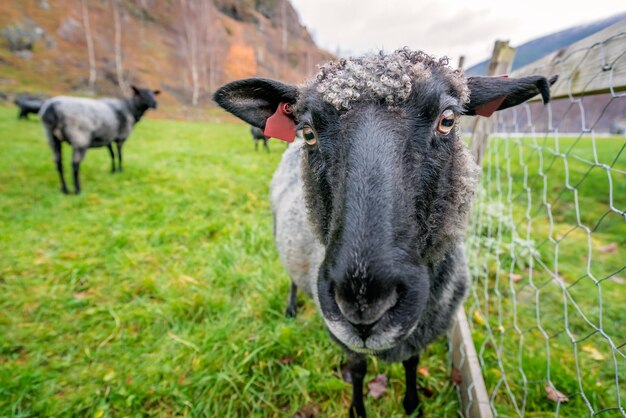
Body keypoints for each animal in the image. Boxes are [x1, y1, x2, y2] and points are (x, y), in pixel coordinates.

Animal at [212, 47, 552, 416]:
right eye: (308, 132)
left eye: (447, 120)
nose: (363, 303)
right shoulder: (343, 337)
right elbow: (358, 369)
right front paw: (359, 410)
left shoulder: (422, 331)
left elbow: (412, 362)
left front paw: (412, 403)